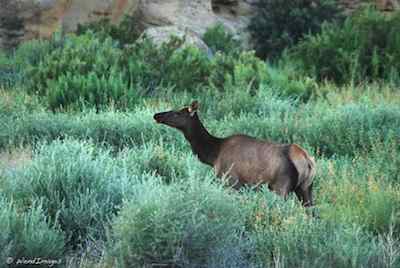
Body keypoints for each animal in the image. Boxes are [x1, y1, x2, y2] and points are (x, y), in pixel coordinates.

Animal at [153, 101, 316, 207]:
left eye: (177, 113)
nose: (156, 115)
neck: (213, 154)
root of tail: (307, 161)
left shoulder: (231, 181)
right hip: (306, 188)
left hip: (280, 187)